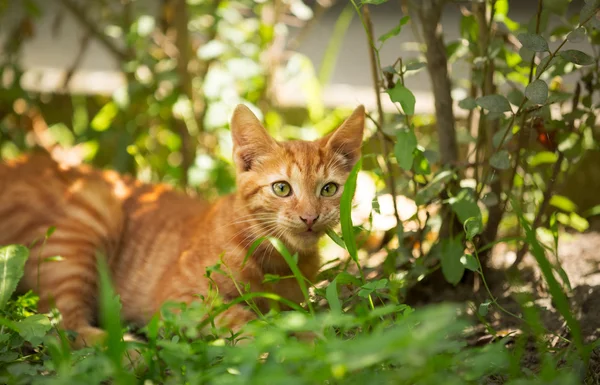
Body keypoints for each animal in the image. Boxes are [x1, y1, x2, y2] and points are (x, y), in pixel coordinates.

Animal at [0, 103, 366, 344]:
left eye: (329, 189)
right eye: (282, 188)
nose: (309, 217)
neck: (278, 258)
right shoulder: (181, 302)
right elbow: (246, 320)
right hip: (93, 212)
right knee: (61, 326)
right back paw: (130, 353)